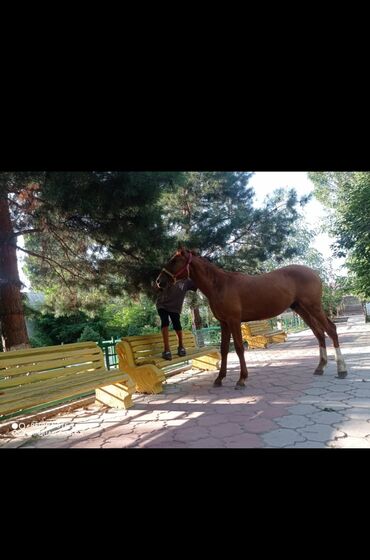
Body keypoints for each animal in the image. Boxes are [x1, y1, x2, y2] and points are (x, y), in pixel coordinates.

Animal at [156, 248, 346, 390]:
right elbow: (224, 349)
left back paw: (342, 370)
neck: (220, 284)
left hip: (314, 307)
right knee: (319, 333)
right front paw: (219, 378)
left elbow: (240, 348)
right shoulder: (224, 323)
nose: (159, 281)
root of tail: (314, 273)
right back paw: (320, 367)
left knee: (331, 330)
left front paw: (241, 379)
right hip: (302, 309)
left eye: (174, 261)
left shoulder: (233, 321)